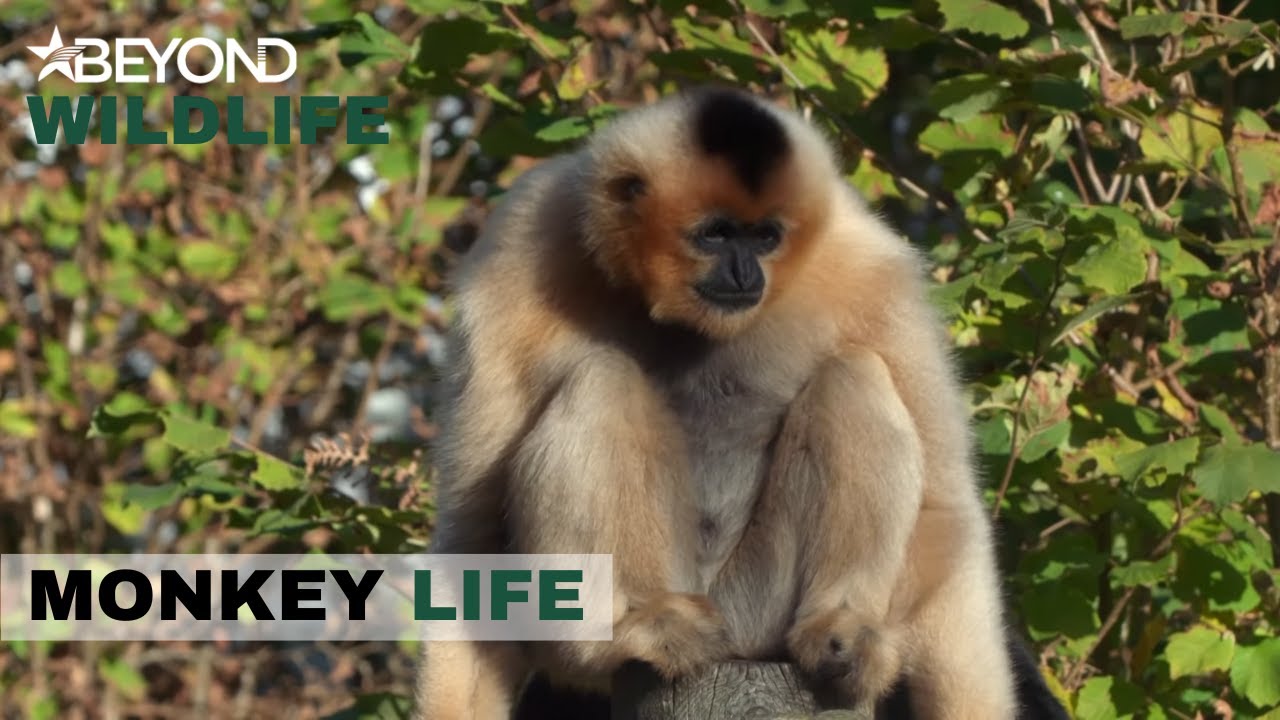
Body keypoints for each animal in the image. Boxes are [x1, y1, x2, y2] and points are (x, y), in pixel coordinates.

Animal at [413, 86, 1063, 720]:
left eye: (765, 236)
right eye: (717, 234)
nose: (745, 271)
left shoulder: (873, 270)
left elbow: (944, 511)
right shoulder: (519, 248)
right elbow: (474, 529)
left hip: (757, 611)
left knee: (853, 375)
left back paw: (839, 629)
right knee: (603, 377)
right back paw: (627, 635)